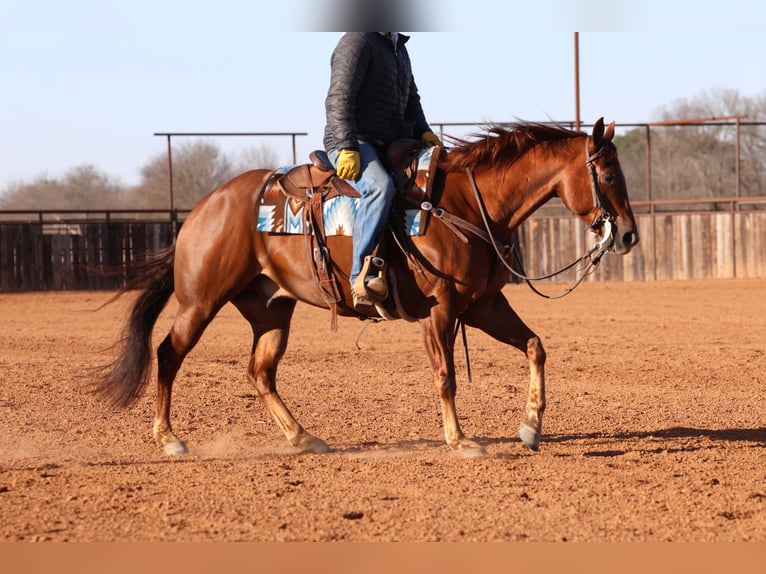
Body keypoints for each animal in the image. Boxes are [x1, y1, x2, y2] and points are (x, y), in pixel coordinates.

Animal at [97, 118, 639, 458]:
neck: (465, 205)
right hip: (201, 301)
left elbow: (535, 346)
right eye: (610, 174)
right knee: (169, 353)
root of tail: (201, 209)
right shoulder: (441, 311)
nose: (629, 235)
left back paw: (304, 438)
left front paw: (530, 427)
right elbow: (446, 376)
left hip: (271, 309)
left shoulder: (482, 305)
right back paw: (169, 438)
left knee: (260, 372)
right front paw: (461, 441)